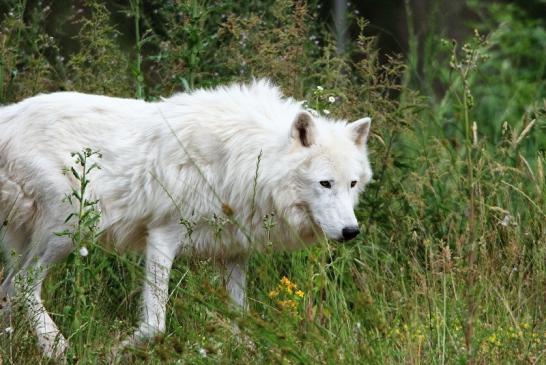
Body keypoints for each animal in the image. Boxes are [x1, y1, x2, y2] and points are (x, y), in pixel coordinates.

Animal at [0, 79, 370, 356]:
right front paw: (117, 350)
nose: (351, 231)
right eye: (325, 183)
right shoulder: (163, 235)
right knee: (23, 285)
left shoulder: (233, 253)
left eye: (352, 184)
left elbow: (241, 319)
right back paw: (58, 348)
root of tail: (8, 115)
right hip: (72, 226)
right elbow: (154, 325)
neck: (245, 158)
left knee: (8, 290)